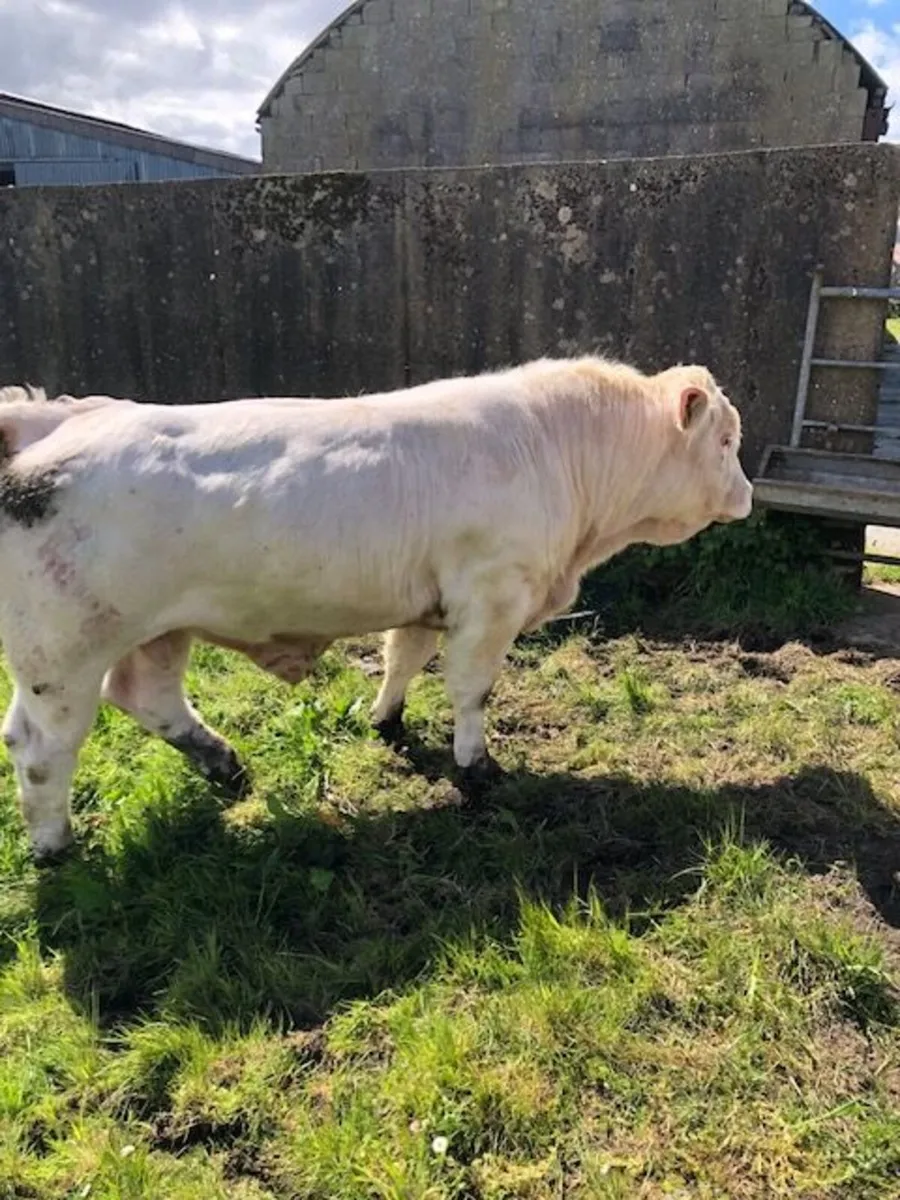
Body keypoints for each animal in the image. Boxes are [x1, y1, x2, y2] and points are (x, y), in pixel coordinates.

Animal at [0, 357, 752, 862]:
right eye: (725, 441)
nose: (747, 495)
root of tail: (60, 419)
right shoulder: (491, 597)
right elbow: (471, 689)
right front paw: (478, 768)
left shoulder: (427, 603)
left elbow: (404, 660)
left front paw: (386, 720)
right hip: (63, 654)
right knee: (43, 747)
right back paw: (55, 846)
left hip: (149, 633)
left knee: (141, 698)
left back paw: (225, 764)